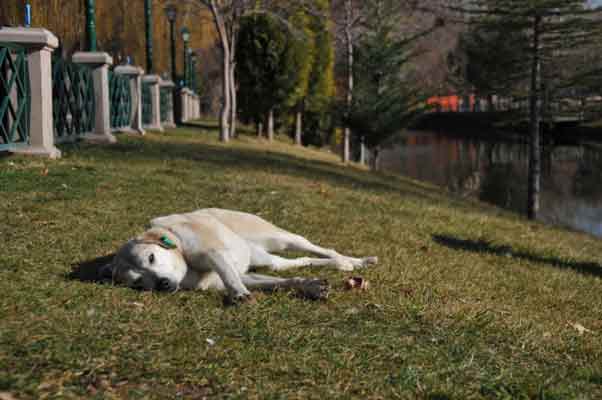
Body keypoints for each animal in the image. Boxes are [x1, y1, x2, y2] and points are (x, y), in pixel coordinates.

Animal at [101, 209, 378, 304]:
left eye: (151, 258)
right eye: (138, 283)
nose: (162, 284)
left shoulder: (213, 253)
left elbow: (228, 273)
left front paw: (239, 295)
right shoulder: (242, 275)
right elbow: (279, 281)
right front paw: (310, 286)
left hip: (281, 239)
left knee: (318, 248)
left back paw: (358, 261)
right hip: (269, 260)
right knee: (299, 262)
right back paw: (343, 264)